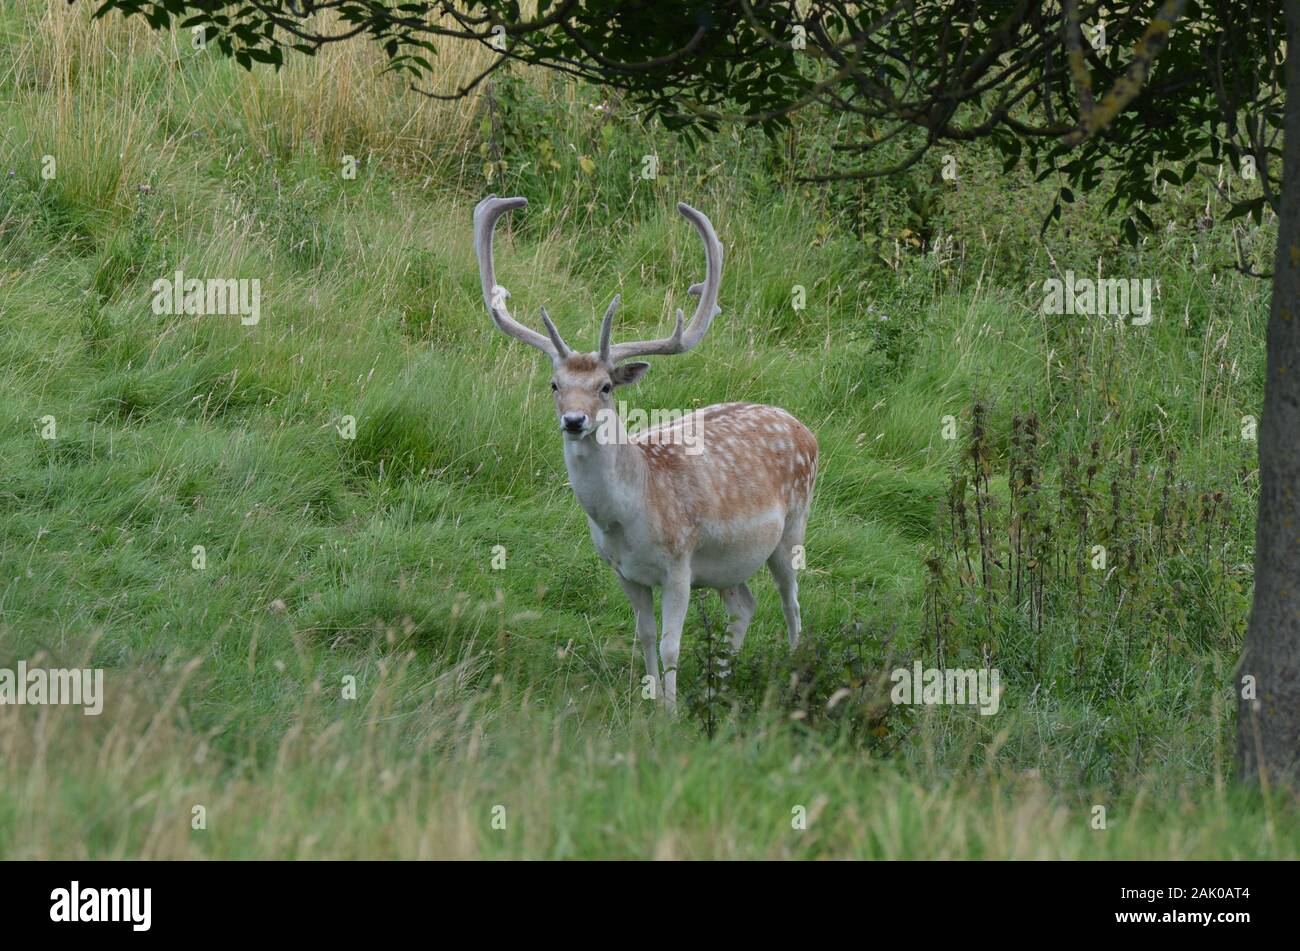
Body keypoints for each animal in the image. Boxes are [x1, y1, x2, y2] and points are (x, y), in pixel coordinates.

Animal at [478, 193, 816, 711]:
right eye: (555, 385)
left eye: (605, 387)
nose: (573, 421)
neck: (626, 518)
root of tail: (803, 426)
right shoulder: (624, 571)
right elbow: (645, 635)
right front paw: (650, 699)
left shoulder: (679, 563)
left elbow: (671, 643)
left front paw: (670, 713)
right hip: (726, 564)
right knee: (744, 604)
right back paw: (718, 686)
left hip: (792, 527)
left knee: (791, 601)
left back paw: (793, 675)